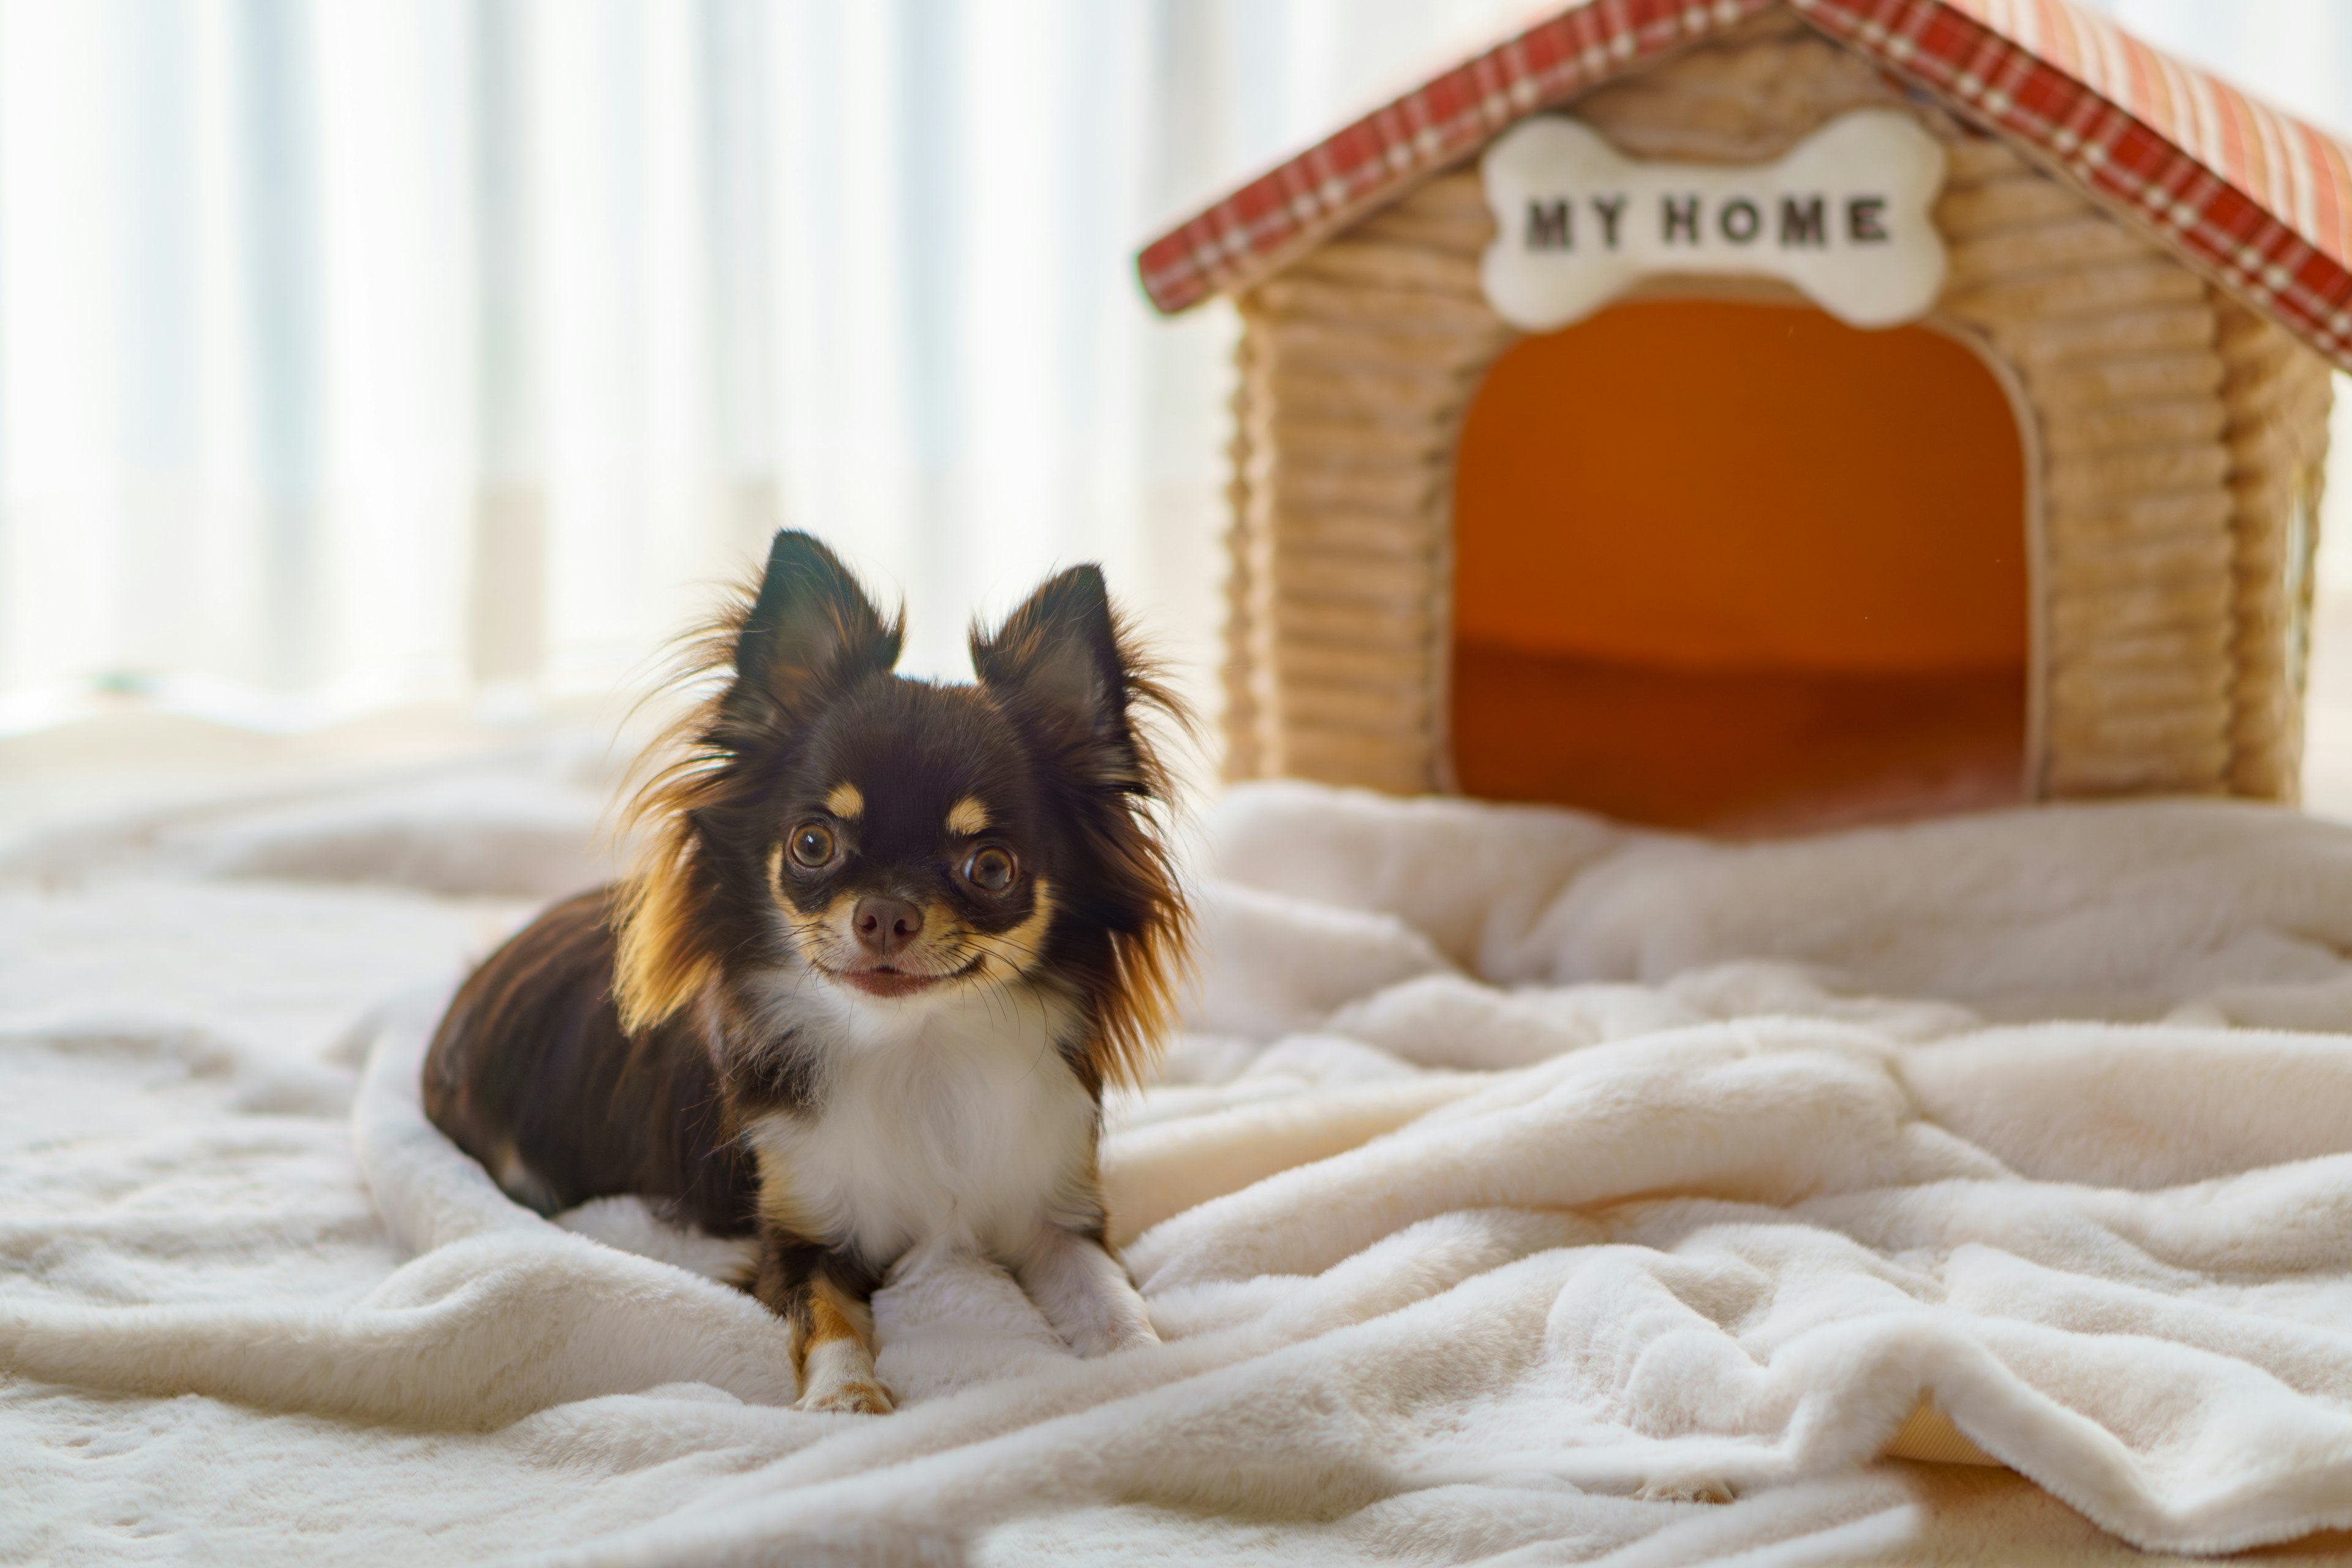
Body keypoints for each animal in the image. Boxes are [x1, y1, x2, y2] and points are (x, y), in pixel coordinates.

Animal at [423, 533, 1185, 1420]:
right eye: (813, 845)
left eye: (991, 867)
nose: (884, 914)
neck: (916, 1049)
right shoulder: (798, 1233)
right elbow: (829, 1319)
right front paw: (848, 1398)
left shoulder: (1055, 1216)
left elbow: (1110, 1294)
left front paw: (1148, 1364)